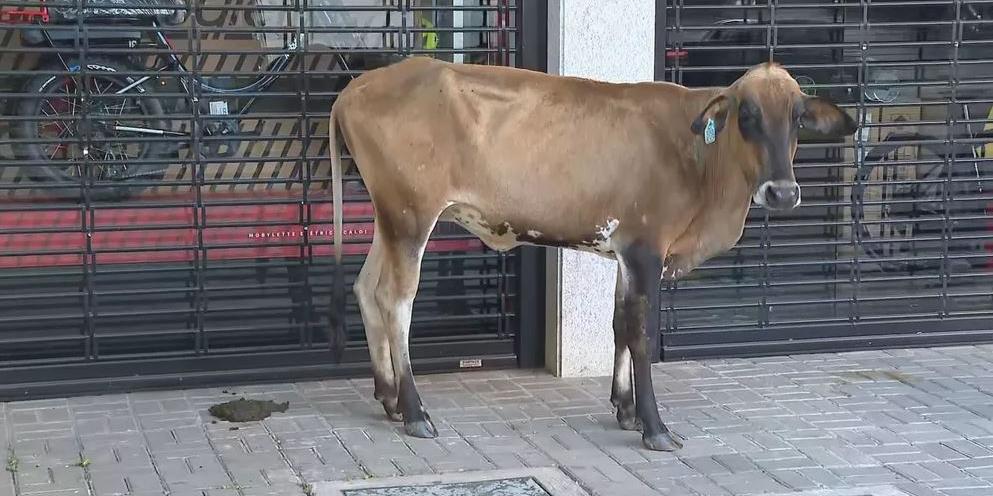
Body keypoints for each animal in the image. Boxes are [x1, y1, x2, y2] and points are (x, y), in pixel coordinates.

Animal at [326, 57, 852, 450]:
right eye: (747, 115)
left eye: (798, 118)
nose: (783, 193)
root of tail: (357, 86)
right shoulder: (645, 247)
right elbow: (641, 332)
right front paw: (655, 427)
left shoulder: (623, 252)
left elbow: (618, 323)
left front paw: (625, 409)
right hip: (411, 215)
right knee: (396, 301)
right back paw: (414, 410)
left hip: (388, 219)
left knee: (366, 288)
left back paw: (388, 397)